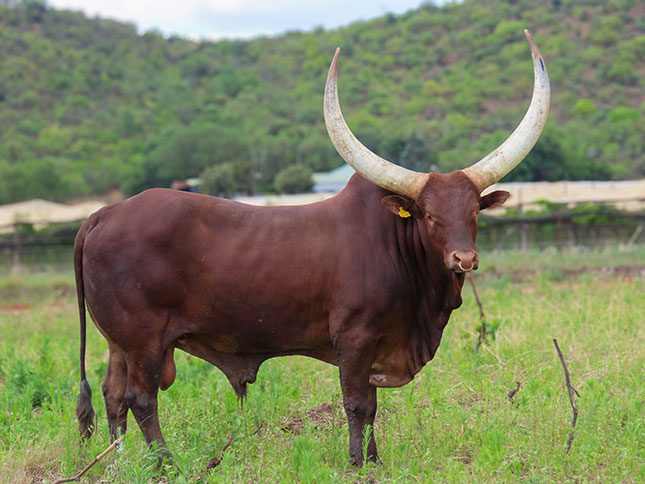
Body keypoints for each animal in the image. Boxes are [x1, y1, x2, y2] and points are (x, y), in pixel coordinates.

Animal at [74, 30, 549, 467]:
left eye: (473, 213)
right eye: (428, 215)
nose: (463, 259)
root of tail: (105, 214)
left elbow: (372, 407)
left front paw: (374, 460)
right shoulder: (355, 338)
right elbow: (359, 404)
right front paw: (358, 464)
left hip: (119, 343)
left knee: (113, 394)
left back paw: (118, 463)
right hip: (144, 341)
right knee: (140, 398)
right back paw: (165, 465)